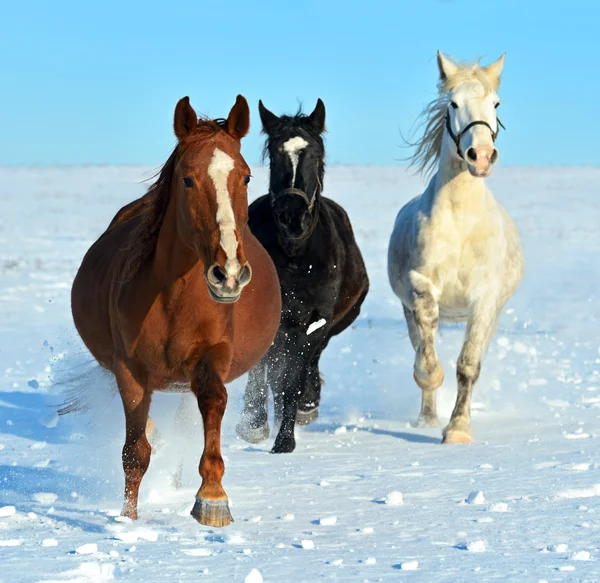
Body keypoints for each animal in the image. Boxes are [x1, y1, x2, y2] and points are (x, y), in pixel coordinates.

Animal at [70, 96, 282, 528]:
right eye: (187, 179)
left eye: (246, 177)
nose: (228, 274)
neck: (174, 301)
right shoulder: (130, 373)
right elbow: (135, 453)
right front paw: (128, 522)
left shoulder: (213, 356)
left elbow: (213, 402)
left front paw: (212, 498)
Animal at [236, 100, 368, 454]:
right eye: (274, 153)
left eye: (316, 154)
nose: (292, 216)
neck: (295, 256)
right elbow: (266, 370)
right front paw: (254, 425)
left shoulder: (315, 319)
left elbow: (292, 379)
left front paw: (285, 438)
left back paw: (307, 406)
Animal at [390, 53, 520, 442]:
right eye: (453, 103)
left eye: (496, 104)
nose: (481, 155)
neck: (462, 223)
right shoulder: (420, 287)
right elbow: (426, 359)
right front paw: (432, 392)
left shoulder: (484, 301)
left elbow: (468, 366)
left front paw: (459, 429)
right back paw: (427, 418)